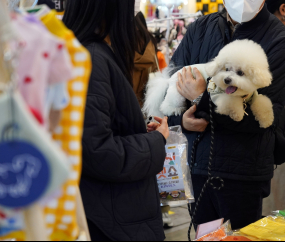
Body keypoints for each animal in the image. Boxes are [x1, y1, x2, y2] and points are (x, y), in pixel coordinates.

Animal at [143, 39, 274, 129]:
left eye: (240, 73)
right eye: (226, 69)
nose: (226, 80)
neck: (241, 95)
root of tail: (169, 78)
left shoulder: (253, 96)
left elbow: (262, 104)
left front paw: (266, 120)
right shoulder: (216, 95)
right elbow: (230, 103)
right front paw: (238, 114)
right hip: (177, 94)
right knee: (166, 106)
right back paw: (176, 110)